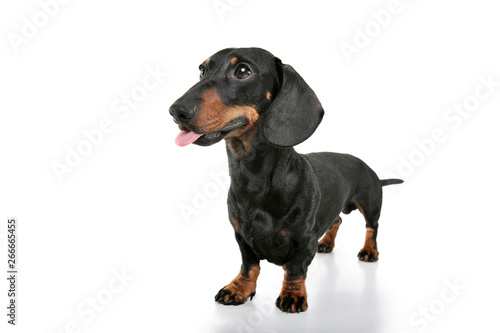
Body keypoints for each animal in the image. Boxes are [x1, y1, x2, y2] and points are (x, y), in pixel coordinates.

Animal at [170, 46, 404, 312]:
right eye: (202, 70)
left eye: (242, 71)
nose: (176, 111)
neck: (253, 177)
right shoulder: (241, 236)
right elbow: (249, 266)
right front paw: (238, 288)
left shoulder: (304, 240)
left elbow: (294, 269)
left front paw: (292, 294)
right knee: (337, 220)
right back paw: (327, 243)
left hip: (371, 202)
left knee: (372, 228)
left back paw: (369, 251)